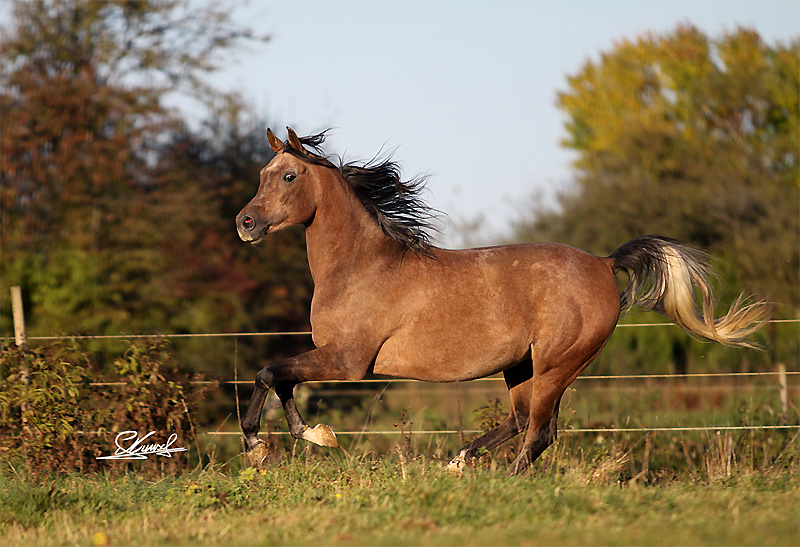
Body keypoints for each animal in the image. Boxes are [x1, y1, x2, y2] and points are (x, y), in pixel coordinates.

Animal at [235, 127, 769, 475]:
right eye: (262, 173)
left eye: (288, 176)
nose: (245, 223)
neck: (361, 266)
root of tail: (603, 262)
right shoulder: (333, 357)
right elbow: (278, 378)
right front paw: (307, 436)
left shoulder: (348, 361)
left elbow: (269, 372)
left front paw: (265, 446)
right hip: (522, 366)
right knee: (520, 421)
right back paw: (457, 463)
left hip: (558, 363)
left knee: (538, 432)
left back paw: (500, 482)